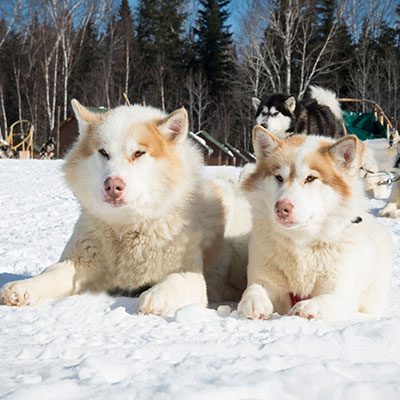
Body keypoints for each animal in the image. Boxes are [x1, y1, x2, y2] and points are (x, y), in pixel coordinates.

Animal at [0, 100, 250, 316]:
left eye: (138, 153)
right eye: (103, 152)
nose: (113, 185)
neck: (128, 229)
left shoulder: (189, 274)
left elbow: (175, 282)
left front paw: (155, 296)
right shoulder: (80, 261)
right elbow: (52, 273)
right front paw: (24, 287)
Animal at [239, 127, 392, 322]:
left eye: (310, 178)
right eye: (279, 177)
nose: (281, 208)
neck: (301, 244)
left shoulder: (339, 292)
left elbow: (325, 299)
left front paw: (307, 307)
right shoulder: (264, 276)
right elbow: (254, 289)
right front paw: (253, 301)